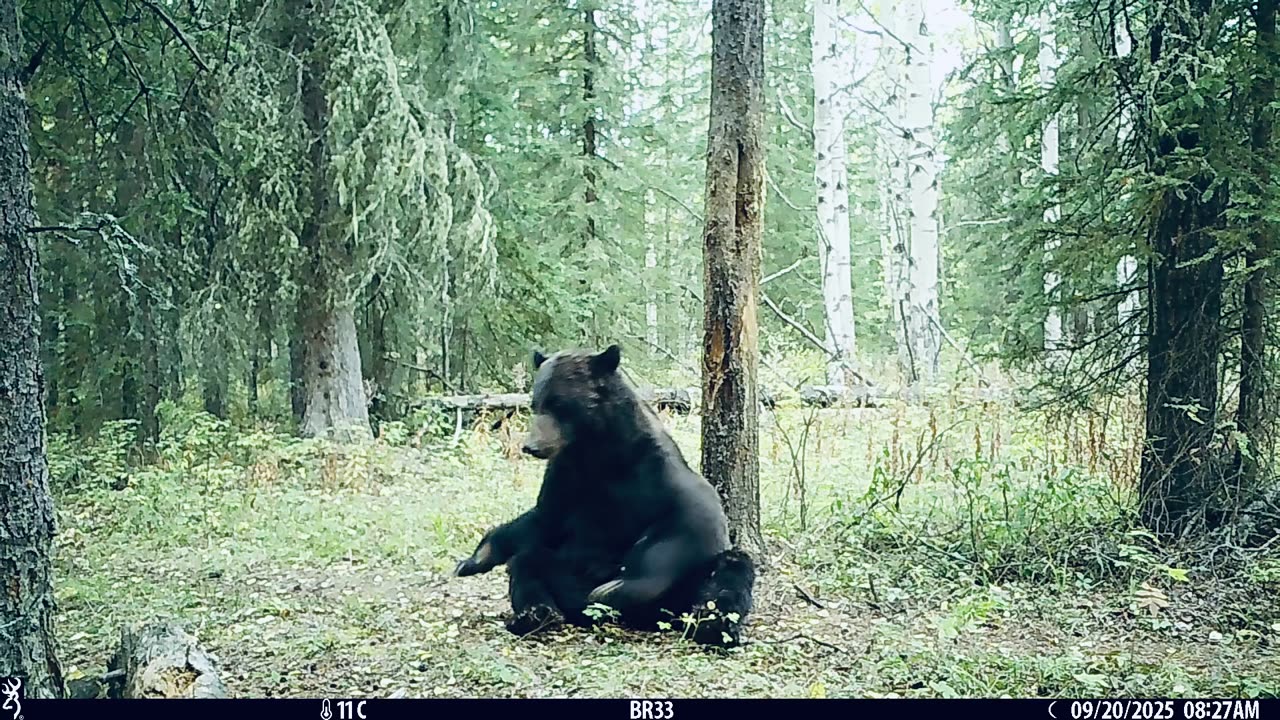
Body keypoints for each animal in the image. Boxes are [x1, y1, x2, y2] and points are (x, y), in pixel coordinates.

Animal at [453, 343, 756, 647]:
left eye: (559, 404)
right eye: (535, 403)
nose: (531, 446)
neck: (596, 451)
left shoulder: (652, 475)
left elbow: (684, 526)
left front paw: (614, 588)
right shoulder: (567, 478)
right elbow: (541, 520)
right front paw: (470, 561)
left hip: (687, 586)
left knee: (730, 572)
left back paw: (714, 626)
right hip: (566, 572)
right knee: (528, 564)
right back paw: (536, 614)